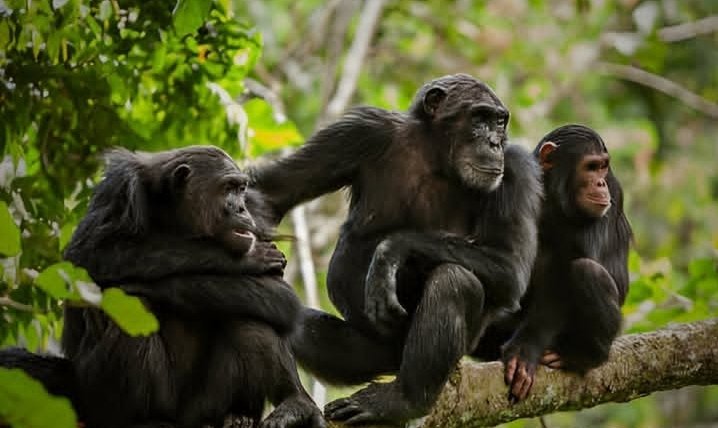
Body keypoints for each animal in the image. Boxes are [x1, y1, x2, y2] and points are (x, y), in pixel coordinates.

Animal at [0, 147, 326, 428]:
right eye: (228, 188)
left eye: (242, 189)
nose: (241, 208)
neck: (176, 214)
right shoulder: (119, 188)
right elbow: (88, 256)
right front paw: (247, 258)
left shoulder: (258, 211)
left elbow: (278, 295)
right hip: (102, 400)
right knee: (132, 312)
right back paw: (140, 419)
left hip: (206, 407)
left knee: (250, 316)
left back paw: (283, 406)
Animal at [250, 74, 544, 424]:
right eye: (479, 119)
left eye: (499, 122)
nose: (495, 143)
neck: (436, 155)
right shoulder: (359, 132)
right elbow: (271, 193)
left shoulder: (516, 168)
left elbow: (510, 264)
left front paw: (390, 253)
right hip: (370, 354)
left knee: (454, 281)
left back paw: (401, 400)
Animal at [498, 123, 632, 402]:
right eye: (591, 167)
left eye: (603, 167)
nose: (600, 182)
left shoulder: (612, 190)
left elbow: (563, 275)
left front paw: (524, 351)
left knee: (586, 271)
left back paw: (583, 356)